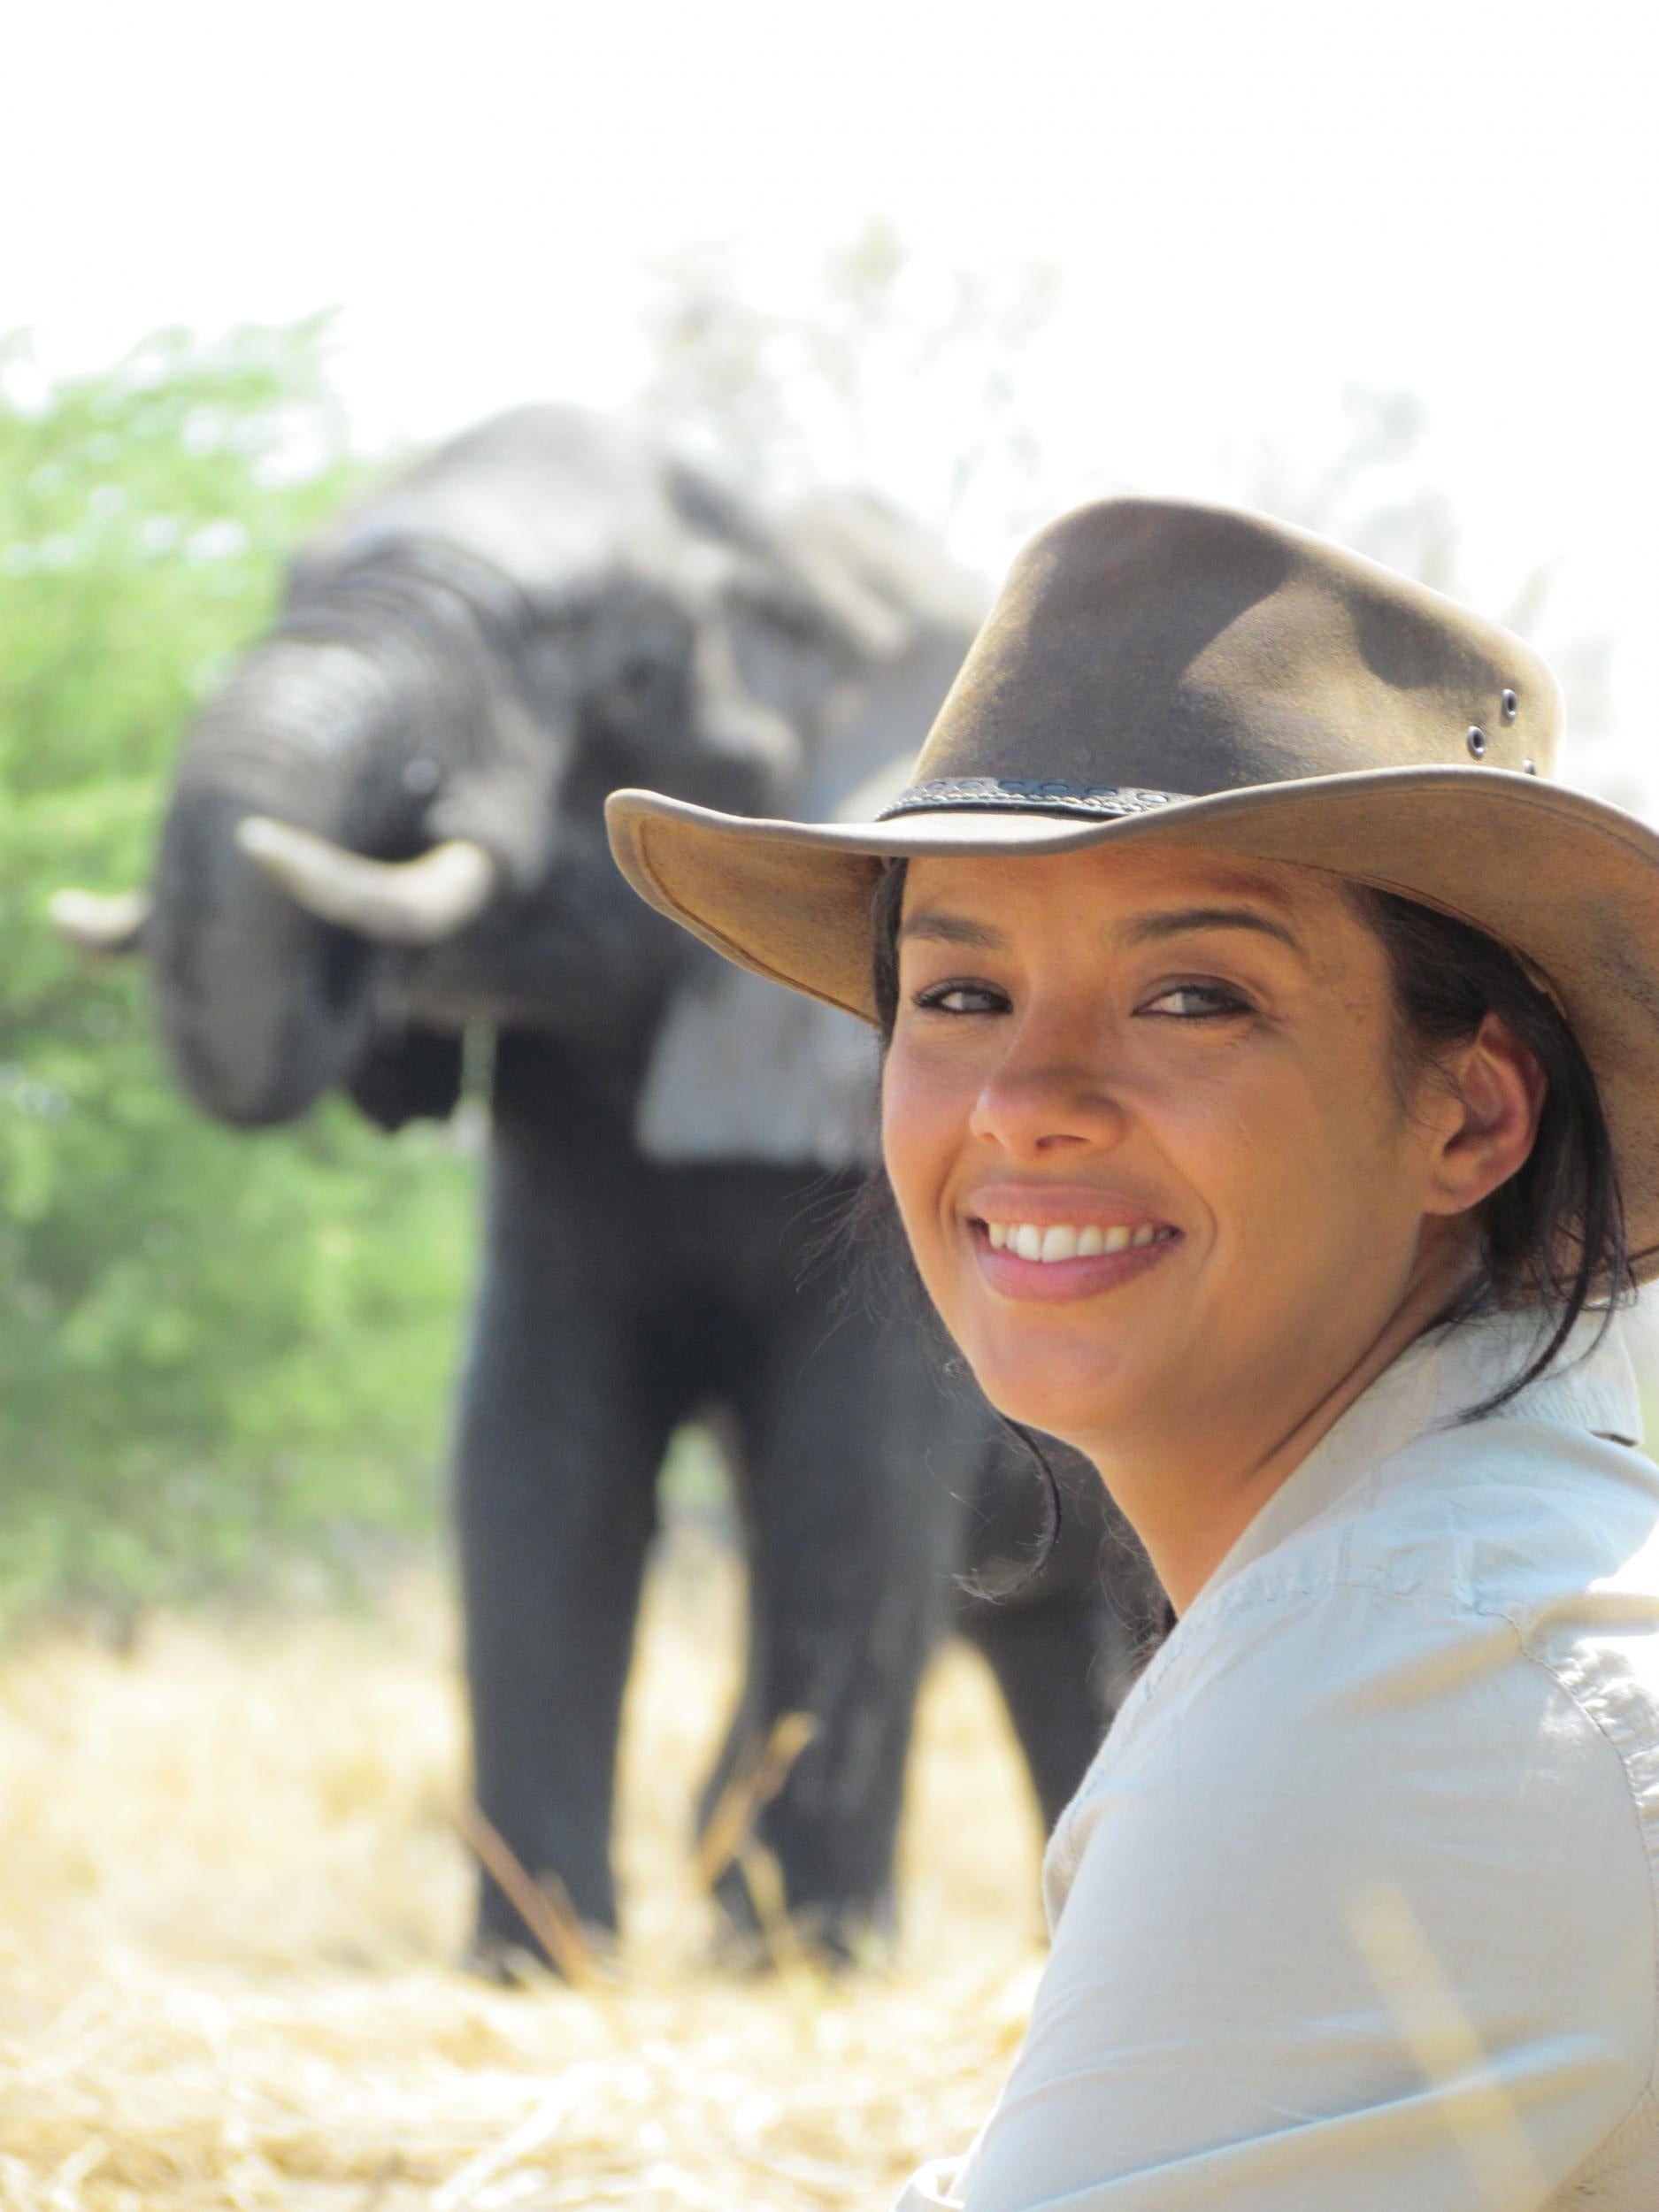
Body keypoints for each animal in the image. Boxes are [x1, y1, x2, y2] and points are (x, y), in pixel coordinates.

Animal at [58, 407, 1159, 1964]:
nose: (397, 822)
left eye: (627, 661)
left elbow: (852, 1475)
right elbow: (533, 1447)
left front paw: (793, 1964)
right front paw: (540, 1966)